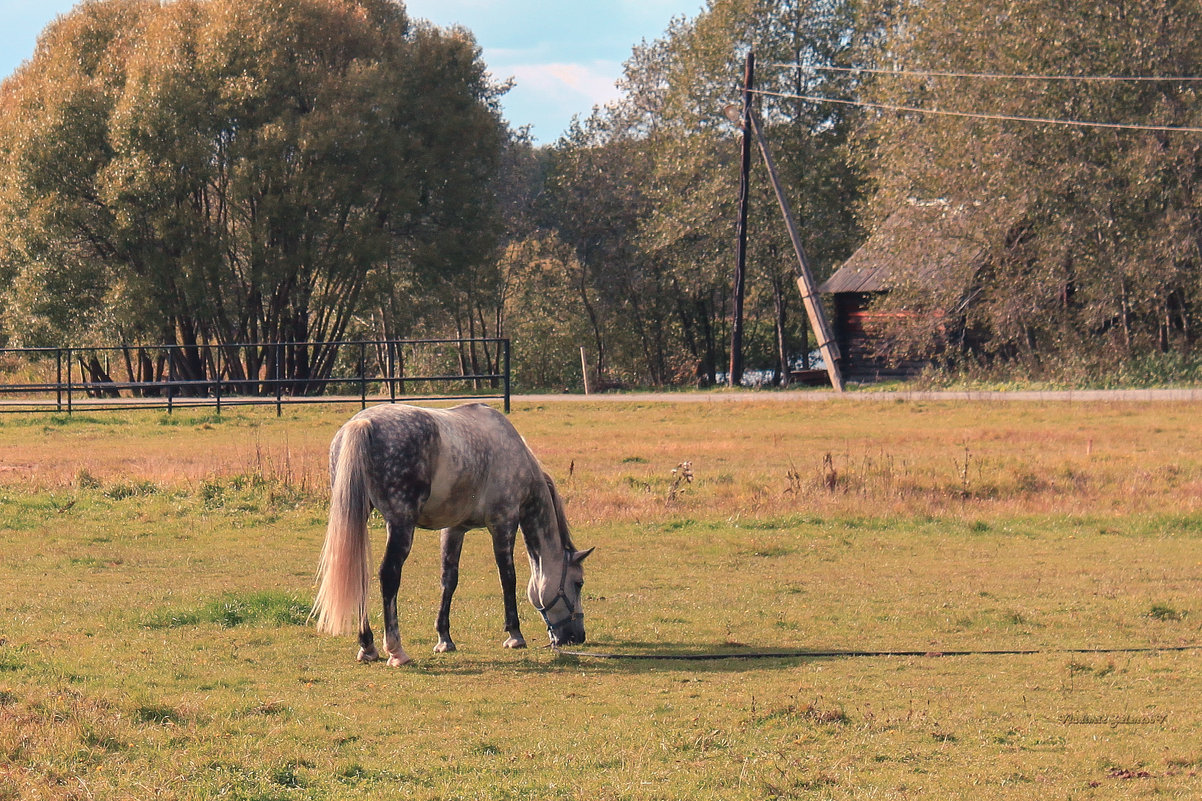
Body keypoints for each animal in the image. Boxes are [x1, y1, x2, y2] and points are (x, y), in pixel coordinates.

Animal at [310, 396, 591, 659]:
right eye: (578, 583)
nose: (577, 637)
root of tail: (363, 423)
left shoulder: (454, 529)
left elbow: (449, 580)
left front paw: (444, 638)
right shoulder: (504, 523)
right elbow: (507, 576)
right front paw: (515, 635)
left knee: (359, 573)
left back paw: (368, 646)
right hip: (401, 524)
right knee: (389, 575)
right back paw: (396, 651)